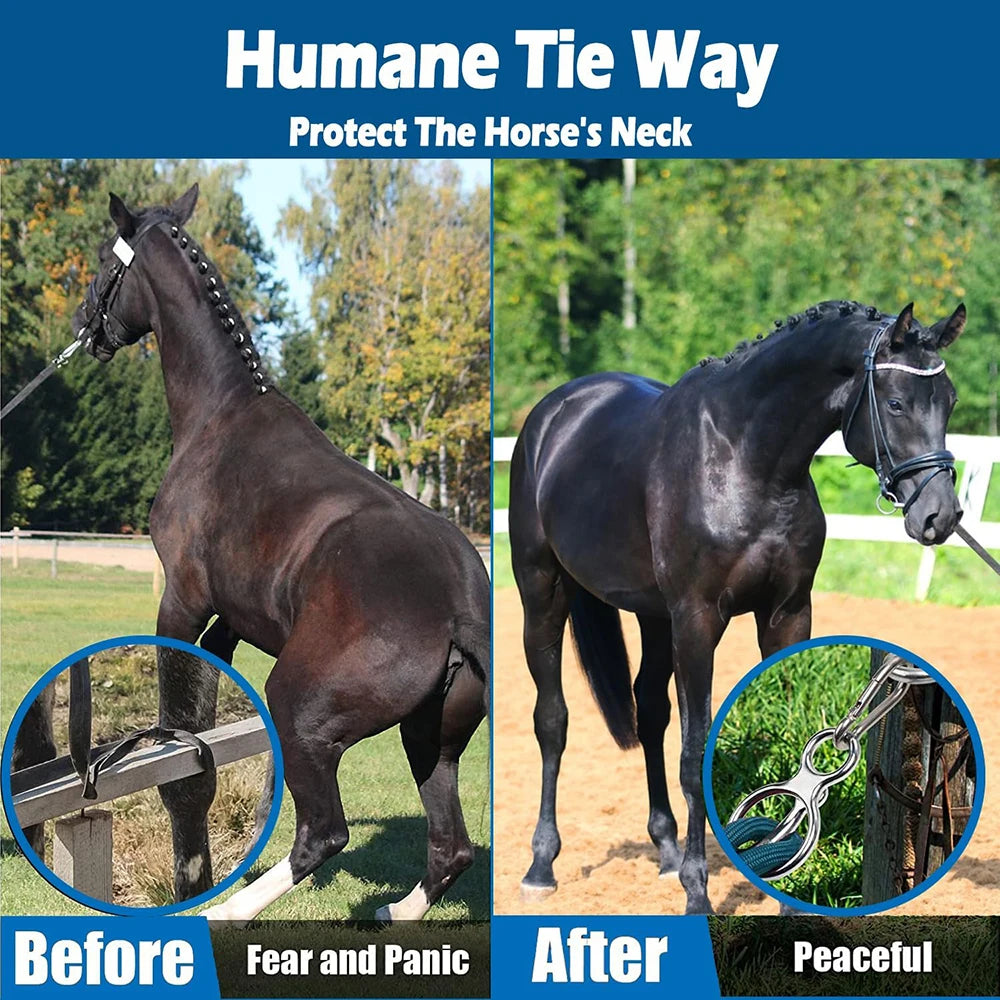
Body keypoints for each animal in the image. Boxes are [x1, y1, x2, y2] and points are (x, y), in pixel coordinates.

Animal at [69, 185, 490, 922]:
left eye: (103, 261)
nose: (86, 325)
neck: (221, 417)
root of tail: (461, 603)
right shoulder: (229, 624)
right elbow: (203, 728)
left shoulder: (181, 602)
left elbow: (179, 742)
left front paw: (193, 879)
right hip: (430, 738)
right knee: (451, 848)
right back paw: (393, 913)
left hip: (303, 714)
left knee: (324, 833)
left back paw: (227, 912)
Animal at [509, 299, 965, 914]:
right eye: (895, 403)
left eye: (950, 401)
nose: (940, 515)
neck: (746, 459)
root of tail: (554, 413)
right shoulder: (698, 620)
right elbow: (694, 751)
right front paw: (698, 893)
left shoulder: (787, 613)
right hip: (543, 592)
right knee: (552, 720)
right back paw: (542, 864)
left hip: (654, 616)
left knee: (650, 710)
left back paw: (666, 850)